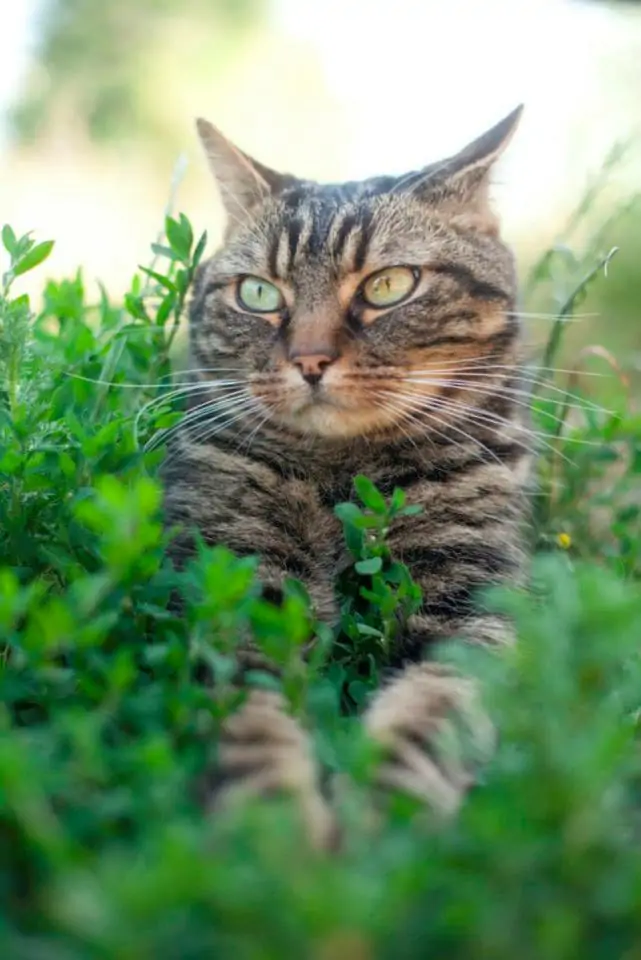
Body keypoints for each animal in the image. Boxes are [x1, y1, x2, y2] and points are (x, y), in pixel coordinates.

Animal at [161, 107, 528, 848]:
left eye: (388, 286)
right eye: (258, 294)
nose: (308, 360)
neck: (341, 479)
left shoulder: (471, 602)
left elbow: (429, 711)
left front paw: (384, 822)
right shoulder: (236, 577)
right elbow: (252, 715)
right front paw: (273, 832)